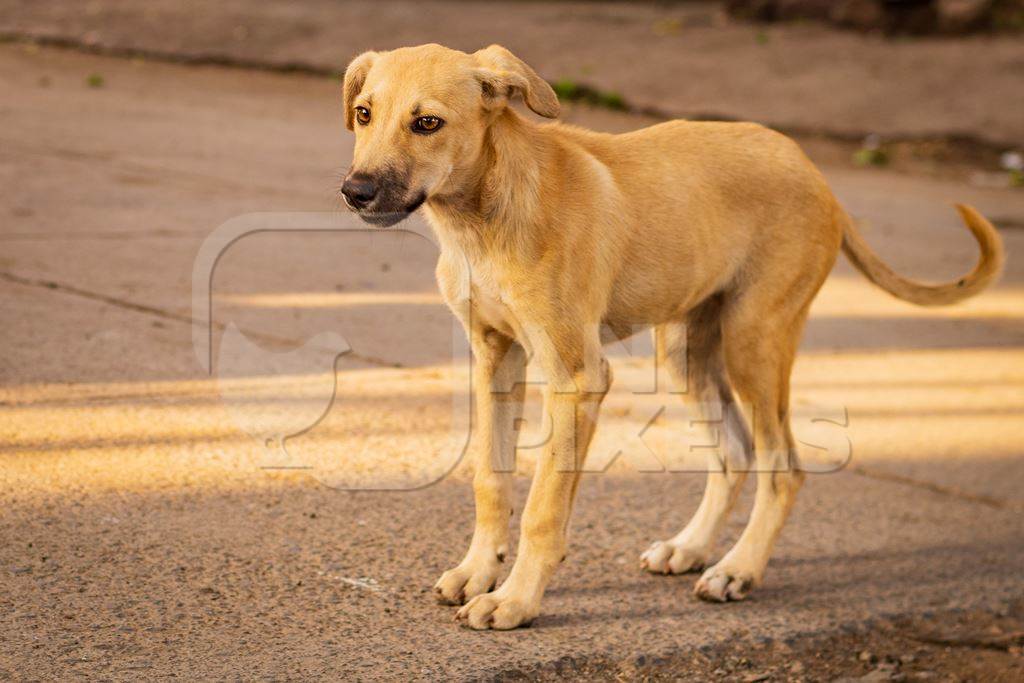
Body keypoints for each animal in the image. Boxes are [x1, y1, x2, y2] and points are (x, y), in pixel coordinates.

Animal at [339, 42, 1003, 630]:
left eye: (427, 123)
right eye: (364, 113)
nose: (355, 192)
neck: (483, 214)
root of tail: (814, 171)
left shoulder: (577, 377)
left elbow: (544, 508)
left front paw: (516, 601)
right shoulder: (493, 358)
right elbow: (490, 477)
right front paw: (480, 570)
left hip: (754, 341)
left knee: (782, 466)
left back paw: (738, 569)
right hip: (686, 351)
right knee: (734, 454)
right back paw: (692, 548)